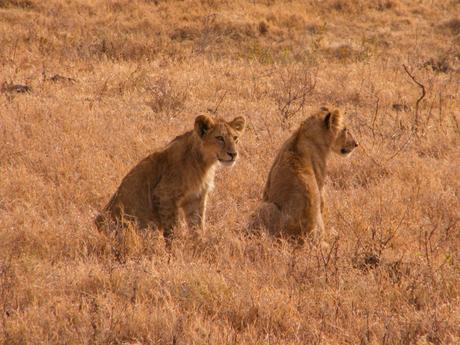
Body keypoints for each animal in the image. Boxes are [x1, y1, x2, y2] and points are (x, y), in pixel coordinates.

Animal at [96, 114, 246, 243]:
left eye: (235, 138)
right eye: (219, 138)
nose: (233, 154)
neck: (203, 163)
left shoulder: (196, 197)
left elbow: (197, 224)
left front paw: (198, 245)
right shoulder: (165, 195)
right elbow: (172, 228)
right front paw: (174, 249)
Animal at [253, 107, 358, 242]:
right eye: (345, 129)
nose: (356, 144)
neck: (303, 133)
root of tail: (302, 237)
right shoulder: (319, 181)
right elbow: (322, 202)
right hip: (265, 207)